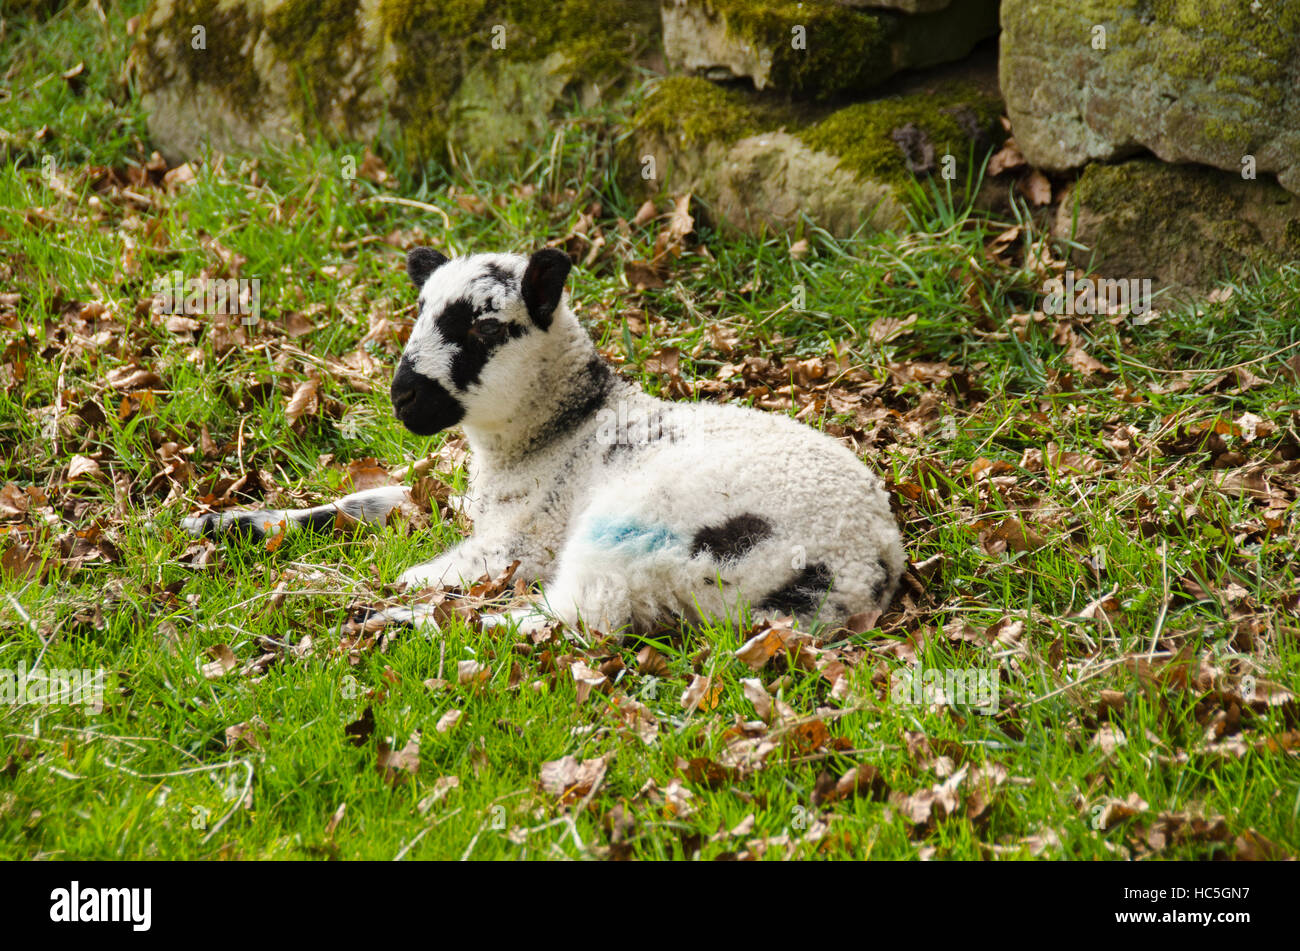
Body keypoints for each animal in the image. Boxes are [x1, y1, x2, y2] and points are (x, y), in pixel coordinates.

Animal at [185, 245, 904, 634]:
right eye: (418, 311)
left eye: (482, 328)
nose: (402, 396)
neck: (560, 428)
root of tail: (859, 571)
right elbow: (363, 504)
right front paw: (228, 523)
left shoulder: (517, 542)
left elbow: (421, 570)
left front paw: (364, 588)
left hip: (634, 533)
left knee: (569, 617)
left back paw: (393, 622)